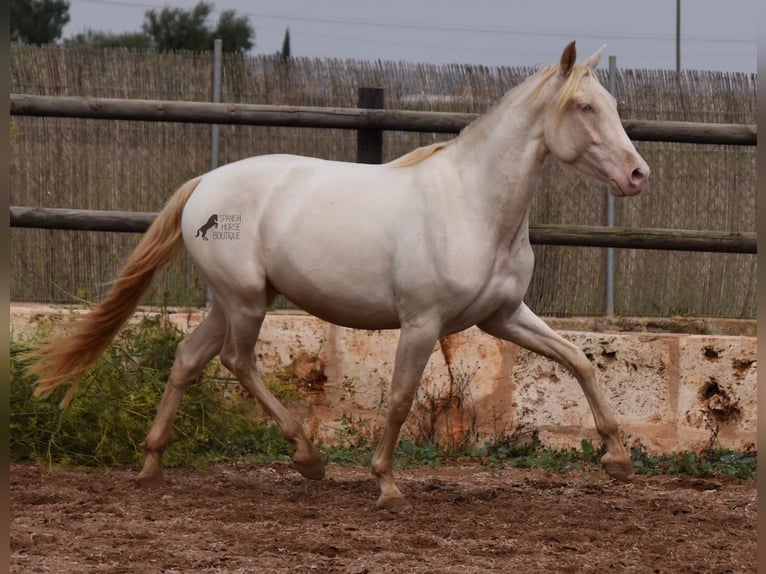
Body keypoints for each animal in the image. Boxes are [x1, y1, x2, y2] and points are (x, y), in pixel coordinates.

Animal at [33, 39, 652, 508]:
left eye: (610, 102)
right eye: (584, 108)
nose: (637, 175)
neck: (473, 205)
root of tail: (204, 185)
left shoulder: (503, 316)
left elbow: (578, 360)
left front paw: (618, 460)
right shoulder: (423, 322)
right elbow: (401, 398)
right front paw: (386, 485)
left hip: (231, 300)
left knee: (188, 358)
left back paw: (152, 466)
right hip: (246, 301)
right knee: (237, 360)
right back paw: (307, 458)